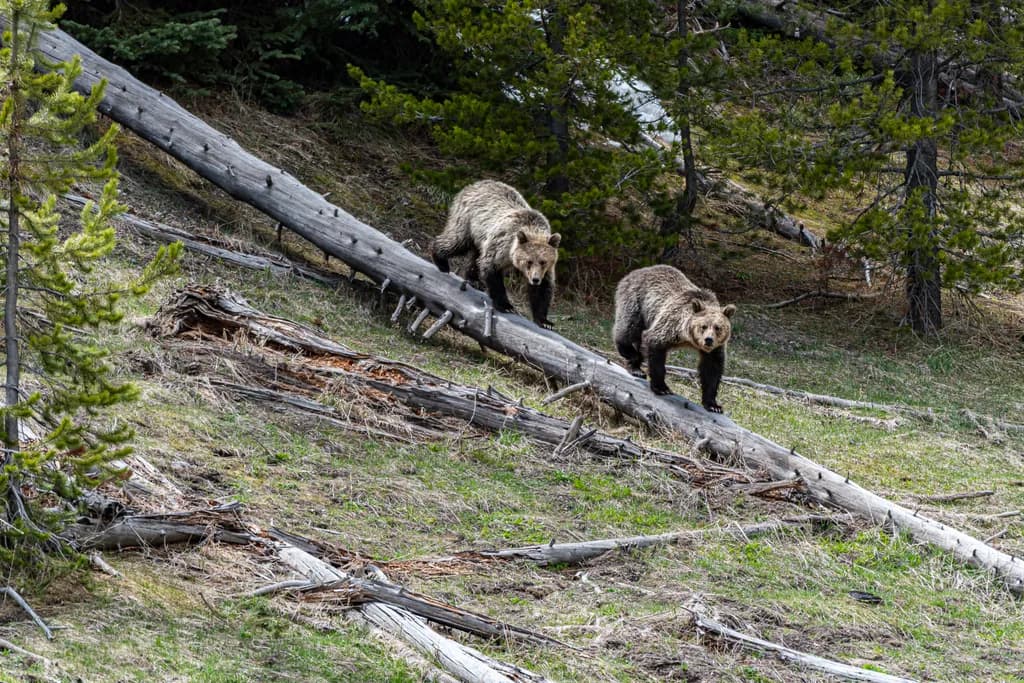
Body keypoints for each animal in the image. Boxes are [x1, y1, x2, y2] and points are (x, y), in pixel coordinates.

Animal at [431, 180, 561, 329]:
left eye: (543, 262)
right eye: (529, 261)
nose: (535, 279)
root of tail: (473, 185)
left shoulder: (547, 269)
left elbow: (543, 290)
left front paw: (545, 321)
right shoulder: (501, 245)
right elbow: (491, 269)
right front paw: (506, 305)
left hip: (480, 235)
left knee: (475, 255)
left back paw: (473, 279)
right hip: (468, 219)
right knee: (457, 241)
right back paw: (441, 261)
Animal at [612, 265, 736, 413]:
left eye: (718, 327)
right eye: (703, 326)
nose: (708, 340)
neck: (688, 339)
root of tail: (636, 271)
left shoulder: (715, 350)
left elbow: (712, 370)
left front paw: (713, 405)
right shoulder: (670, 325)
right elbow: (655, 346)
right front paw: (662, 387)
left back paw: (636, 367)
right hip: (637, 301)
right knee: (629, 328)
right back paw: (633, 358)